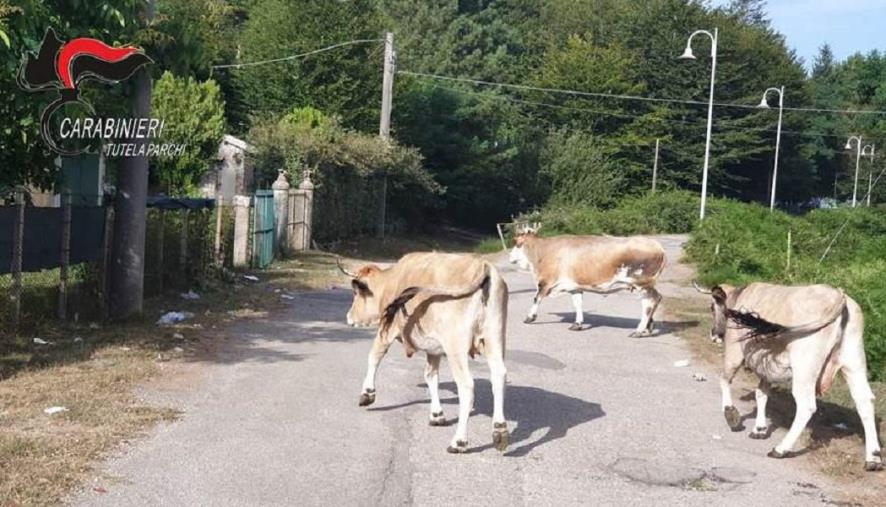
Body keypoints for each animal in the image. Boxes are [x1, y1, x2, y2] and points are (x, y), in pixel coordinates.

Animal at [340, 252, 510, 454]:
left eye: (355, 293)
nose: (348, 317)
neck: (392, 281)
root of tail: (484, 268)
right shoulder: (433, 348)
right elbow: (431, 376)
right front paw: (436, 414)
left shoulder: (387, 330)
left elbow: (374, 357)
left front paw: (367, 393)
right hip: (495, 337)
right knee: (499, 376)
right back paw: (499, 430)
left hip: (456, 347)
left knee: (467, 387)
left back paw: (459, 441)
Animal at [700, 282, 880, 472]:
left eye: (712, 307)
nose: (714, 335)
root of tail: (838, 295)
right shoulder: (767, 367)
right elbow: (761, 393)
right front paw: (759, 429)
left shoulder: (734, 351)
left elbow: (725, 379)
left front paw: (731, 415)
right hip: (854, 362)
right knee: (865, 401)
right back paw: (873, 458)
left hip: (805, 367)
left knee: (806, 406)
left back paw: (781, 448)